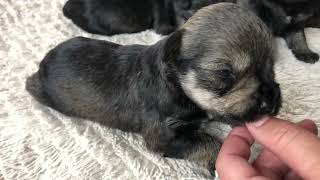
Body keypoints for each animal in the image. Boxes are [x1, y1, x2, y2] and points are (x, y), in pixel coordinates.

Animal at [26, 2, 282, 174]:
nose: (271, 100)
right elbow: (209, 144)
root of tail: (41, 66)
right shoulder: (163, 135)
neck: (178, 86)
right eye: (224, 73)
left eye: (271, 67)